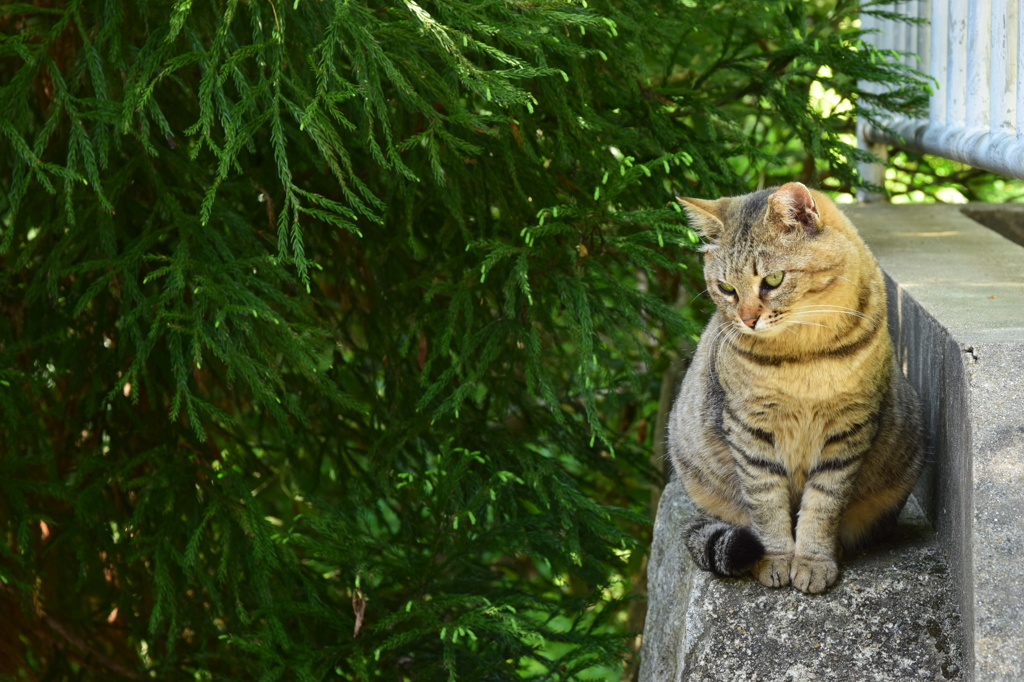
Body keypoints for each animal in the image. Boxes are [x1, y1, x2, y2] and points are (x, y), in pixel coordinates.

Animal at [667, 183, 925, 593]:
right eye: (726, 288)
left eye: (772, 280)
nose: (748, 320)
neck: (804, 354)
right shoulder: (749, 427)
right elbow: (765, 502)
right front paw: (775, 558)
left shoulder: (849, 427)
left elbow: (823, 503)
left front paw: (813, 559)